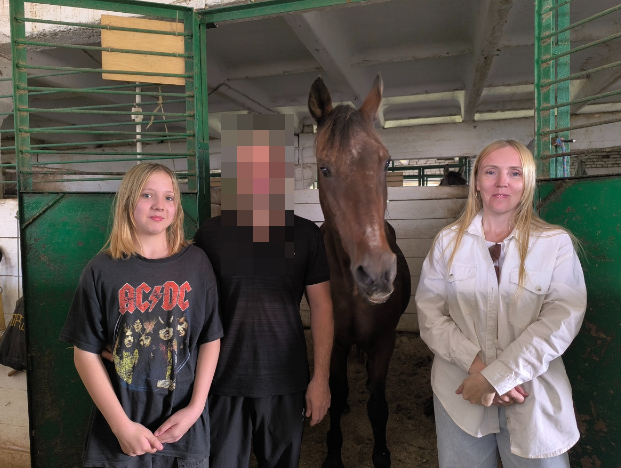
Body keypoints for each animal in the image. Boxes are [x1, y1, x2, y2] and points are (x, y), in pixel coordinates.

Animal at [308, 74, 411, 468]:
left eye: (385, 162)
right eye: (324, 168)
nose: (377, 273)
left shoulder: (384, 341)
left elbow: (378, 406)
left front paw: (381, 455)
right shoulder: (334, 343)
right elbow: (335, 398)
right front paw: (333, 454)